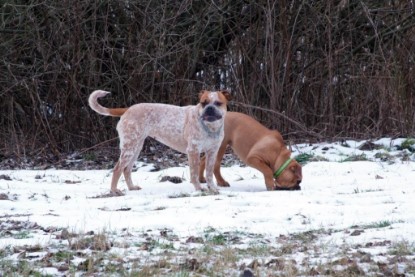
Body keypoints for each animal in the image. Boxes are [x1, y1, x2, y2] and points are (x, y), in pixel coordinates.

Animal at [89, 89, 232, 194]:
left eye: (218, 103)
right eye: (203, 103)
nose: (209, 108)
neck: (210, 128)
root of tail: (127, 109)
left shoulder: (212, 152)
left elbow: (209, 173)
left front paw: (213, 188)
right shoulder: (193, 151)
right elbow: (195, 173)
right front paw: (199, 189)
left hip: (136, 148)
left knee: (127, 169)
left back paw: (132, 188)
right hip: (129, 148)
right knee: (117, 169)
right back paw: (114, 191)